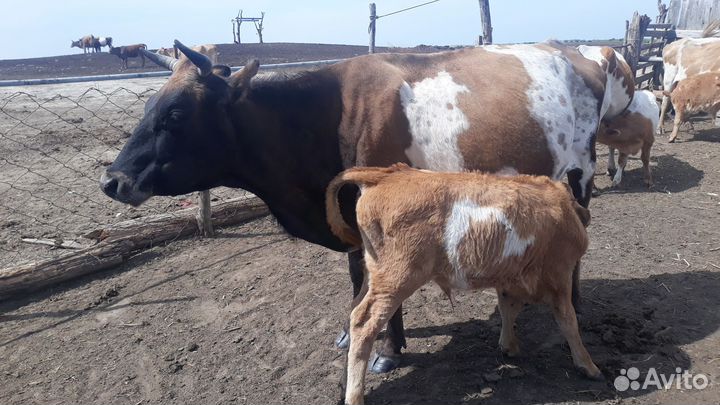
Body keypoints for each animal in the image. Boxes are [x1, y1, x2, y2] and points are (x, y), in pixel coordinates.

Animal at [99, 39, 633, 373]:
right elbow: (359, 275)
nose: (111, 180)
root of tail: (573, 50)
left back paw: (574, 303)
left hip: (579, 173)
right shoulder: (351, 218)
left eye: (174, 114)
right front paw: (348, 330)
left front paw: (388, 350)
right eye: (147, 106)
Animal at [325, 163, 601, 405]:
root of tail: (386, 174)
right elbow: (568, 321)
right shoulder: (559, 275)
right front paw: (588, 365)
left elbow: (508, 309)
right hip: (396, 279)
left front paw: (509, 346)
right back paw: (355, 397)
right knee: (363, 323)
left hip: (375, 275)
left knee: (354, 308)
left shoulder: (509, 280)